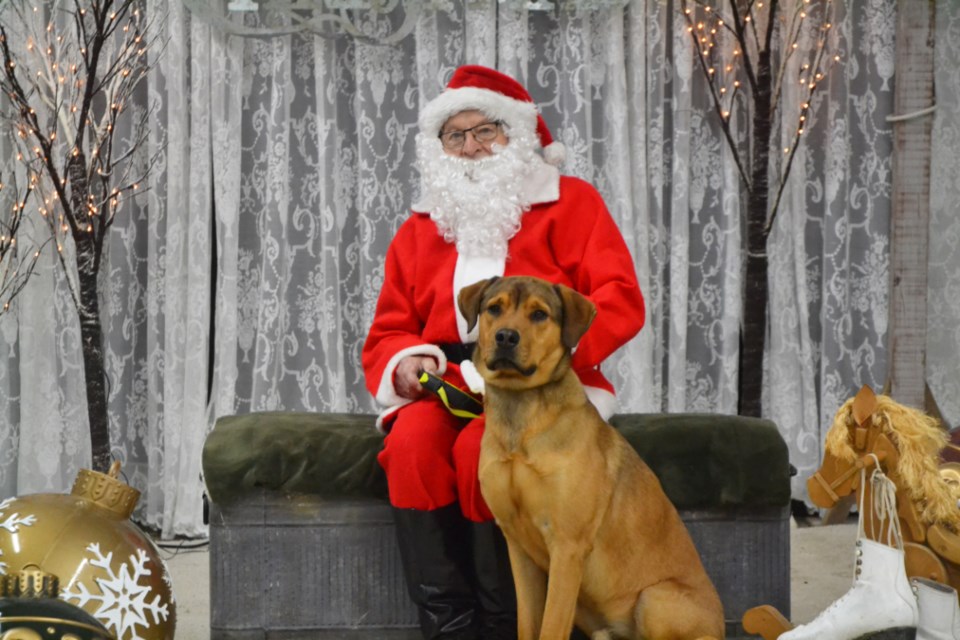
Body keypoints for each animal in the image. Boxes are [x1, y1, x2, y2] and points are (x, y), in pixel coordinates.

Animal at [456, 276, 720, 640]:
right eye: (494, 308)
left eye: (539, 315)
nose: (506, 337)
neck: (521, 414)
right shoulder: (518, 545)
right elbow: (528, 623)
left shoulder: (567, 546)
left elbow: (551, 627)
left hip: (654, 599)